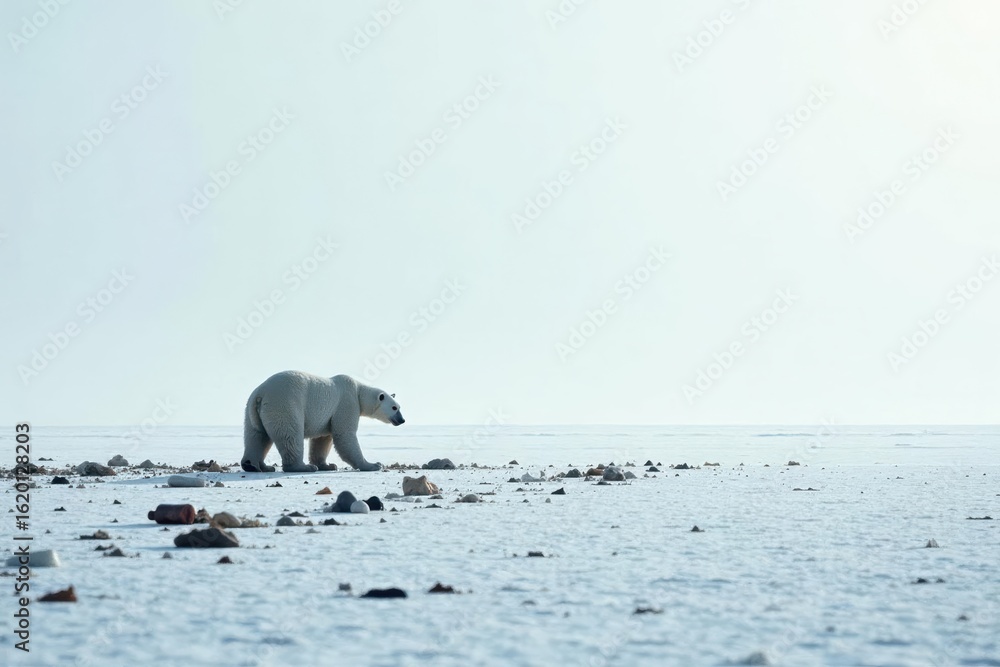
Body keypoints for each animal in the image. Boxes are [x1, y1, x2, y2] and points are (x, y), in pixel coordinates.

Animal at [241, 371, 404, 473]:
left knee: (256, 436)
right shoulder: (347, 402)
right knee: (290, 435)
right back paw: (303, 467)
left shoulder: (327, 416)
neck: (359, 391)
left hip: (251, 410)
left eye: (399, 406)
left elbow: (323, 439)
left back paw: (256, 466)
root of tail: (261, 393)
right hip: (284, 404)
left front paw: (328, 465)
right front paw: (373, 464)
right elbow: (344, 434)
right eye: (394, 407)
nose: (402, 420)